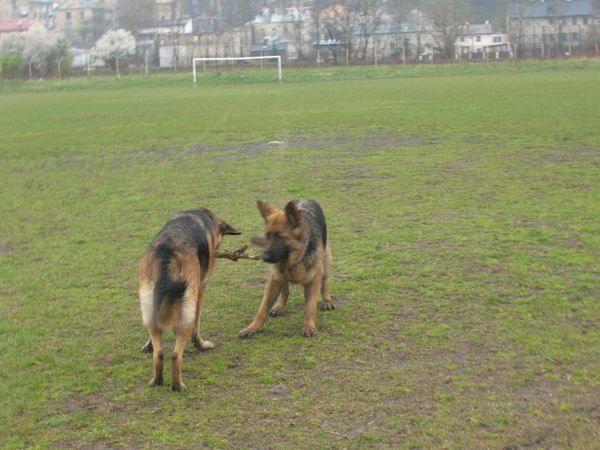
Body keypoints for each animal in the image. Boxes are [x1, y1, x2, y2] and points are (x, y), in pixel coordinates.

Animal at [139, 209, 240, 391]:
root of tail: (167, 252)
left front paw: (148, 345)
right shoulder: (200, 291)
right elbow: (197, 326)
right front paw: (201, 344)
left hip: (149, 304)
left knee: (159, 354)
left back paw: (157, 380)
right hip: (186, 312)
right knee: (175, 356)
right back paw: (177, 385)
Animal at [239, 199, 334, 338]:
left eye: (280, 237)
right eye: (267, 236)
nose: (264, 257)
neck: (295, 260)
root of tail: (305, 199)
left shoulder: (313, 281)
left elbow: (310, 307)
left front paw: (309, 326)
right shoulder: (273, 280)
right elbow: (262, 308)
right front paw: (252, 327)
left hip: (325, 262)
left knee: (324, 282)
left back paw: (327, 300)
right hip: (279, 276)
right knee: (285, 290)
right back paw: (278, 306)